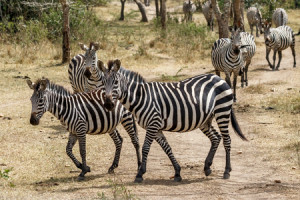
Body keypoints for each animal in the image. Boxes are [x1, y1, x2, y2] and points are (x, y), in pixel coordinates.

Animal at [99, 59, 247, 183]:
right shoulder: (156, 127)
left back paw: (226, 171)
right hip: (205, 120)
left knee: (227, 140)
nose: (108, 105)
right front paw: (177, 172)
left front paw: (140, 174)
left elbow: (146, 148)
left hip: (222, 111)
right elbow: (167, 148)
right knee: (216, 138)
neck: (141, 97)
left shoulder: (153, 124)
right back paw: (207, 167)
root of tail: (219, 78)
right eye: (103, 83)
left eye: (116, 82)